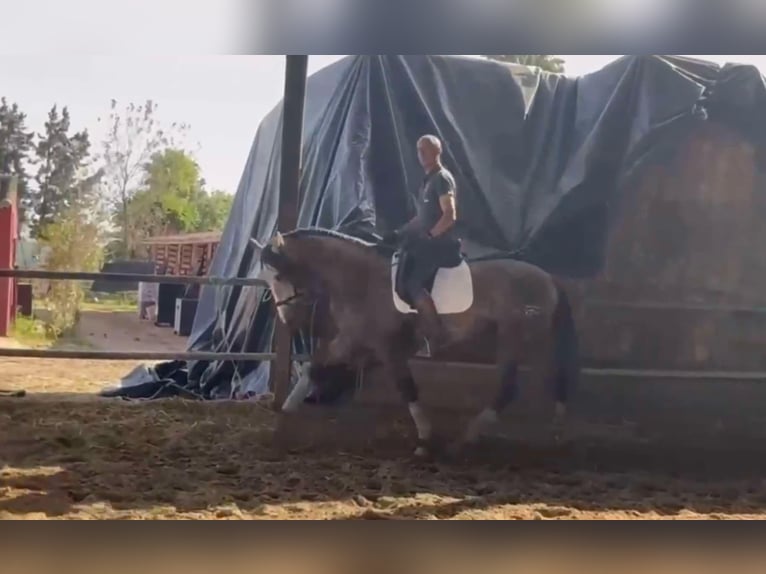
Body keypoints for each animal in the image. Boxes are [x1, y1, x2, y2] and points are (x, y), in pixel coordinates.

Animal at [254, 230, 584, 460]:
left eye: (280, 275)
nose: (288, 319)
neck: (360, 278)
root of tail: (548, 278)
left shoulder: (386, 348)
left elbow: (407, 389)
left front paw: (424, 442)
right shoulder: (352, 340)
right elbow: (314, 367)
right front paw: (284, 419)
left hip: (514, 340)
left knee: (509, 389)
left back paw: (462, 442)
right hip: (532, 342)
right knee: (553, 379)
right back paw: (556, 431)